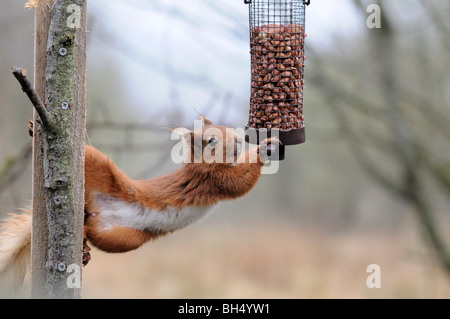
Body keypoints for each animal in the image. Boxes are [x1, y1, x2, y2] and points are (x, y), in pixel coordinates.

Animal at [0, 115, 280, 290]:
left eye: (228, 129)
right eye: (210, 140)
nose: (239, 140)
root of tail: (94, 211)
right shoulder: (212, 180)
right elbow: (239, 183)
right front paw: (265, 148)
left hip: (123, 238)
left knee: (91, 230)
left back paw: (85, 249)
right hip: (95, 163)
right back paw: (34, 132)